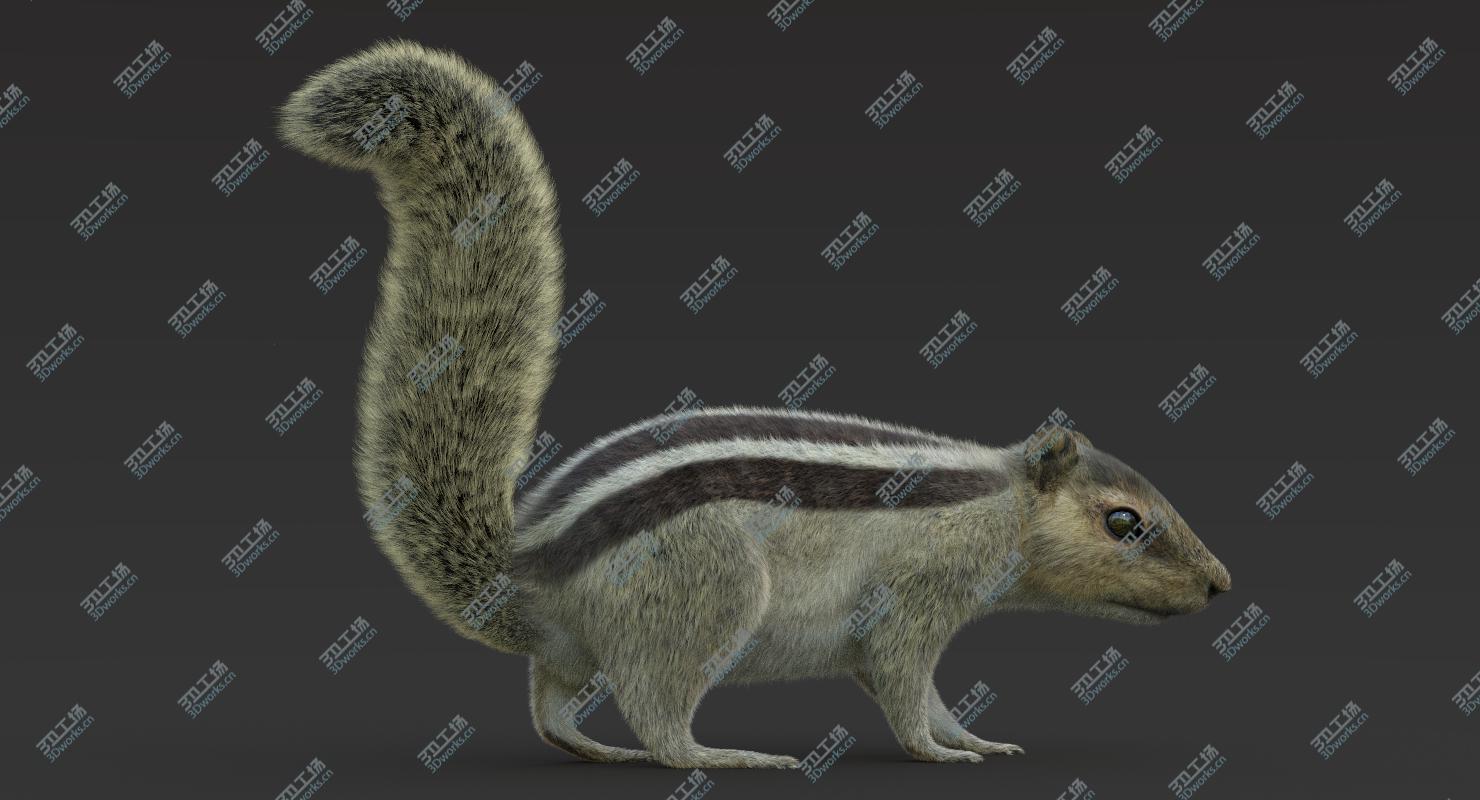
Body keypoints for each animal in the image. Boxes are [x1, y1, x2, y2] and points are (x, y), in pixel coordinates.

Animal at [276, 39, 1233, 769]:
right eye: (1122, 522)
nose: (1221, 583)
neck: (993, 497)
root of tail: (525, 570)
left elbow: (925, 693)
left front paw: (978, 741)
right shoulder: (914, 603)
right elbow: (905, 688)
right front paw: (943, 752)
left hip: (584, 649)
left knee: (551, 703)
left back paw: (591, 749)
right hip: (706, 595)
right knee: (659, 716)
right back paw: (725, 755)